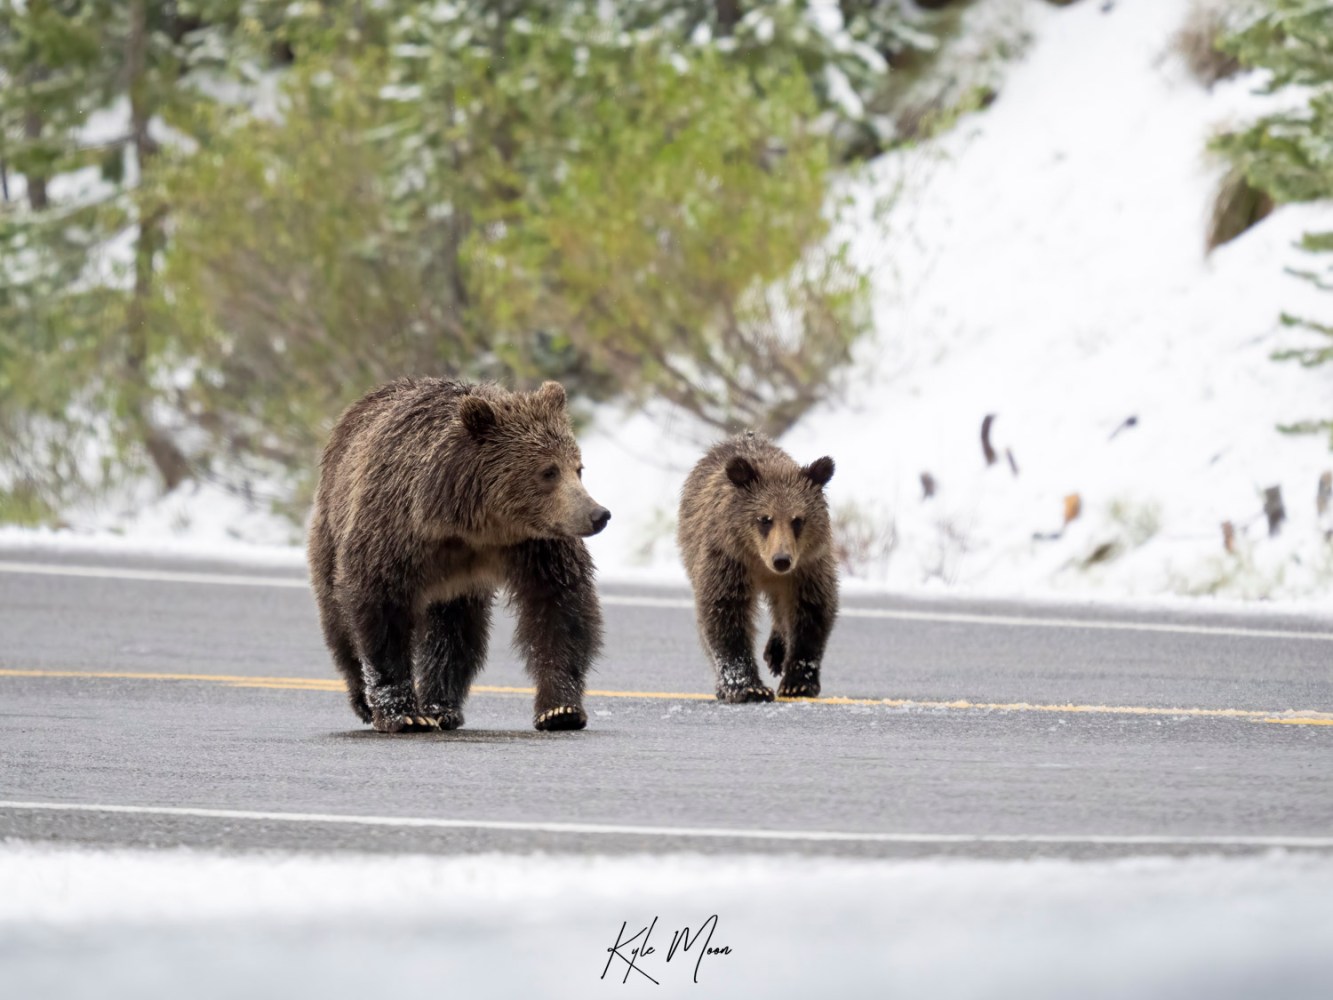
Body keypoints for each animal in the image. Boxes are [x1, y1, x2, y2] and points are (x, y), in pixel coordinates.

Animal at [305, 378, 610, 730]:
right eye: (548, 472)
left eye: (578, 468)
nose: (598, 514)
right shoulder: (395, 533)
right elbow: (380, 610)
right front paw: (403, 714)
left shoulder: (534, 546)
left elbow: (560, 607)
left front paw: (560, 710)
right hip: (331, 530)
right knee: (337, 619)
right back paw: (364, 700)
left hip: (455, 587)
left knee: (453, 635)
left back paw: (442, 707)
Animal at [677, 432, 831, 704]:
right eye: (765, 519)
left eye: (798, 520)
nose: (782, 559)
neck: (760, 562)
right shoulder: (727, 561)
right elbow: (724, 615)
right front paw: (748, 687)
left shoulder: (807, 568)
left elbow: (811, 613)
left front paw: (797, 683)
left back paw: (776, 651)